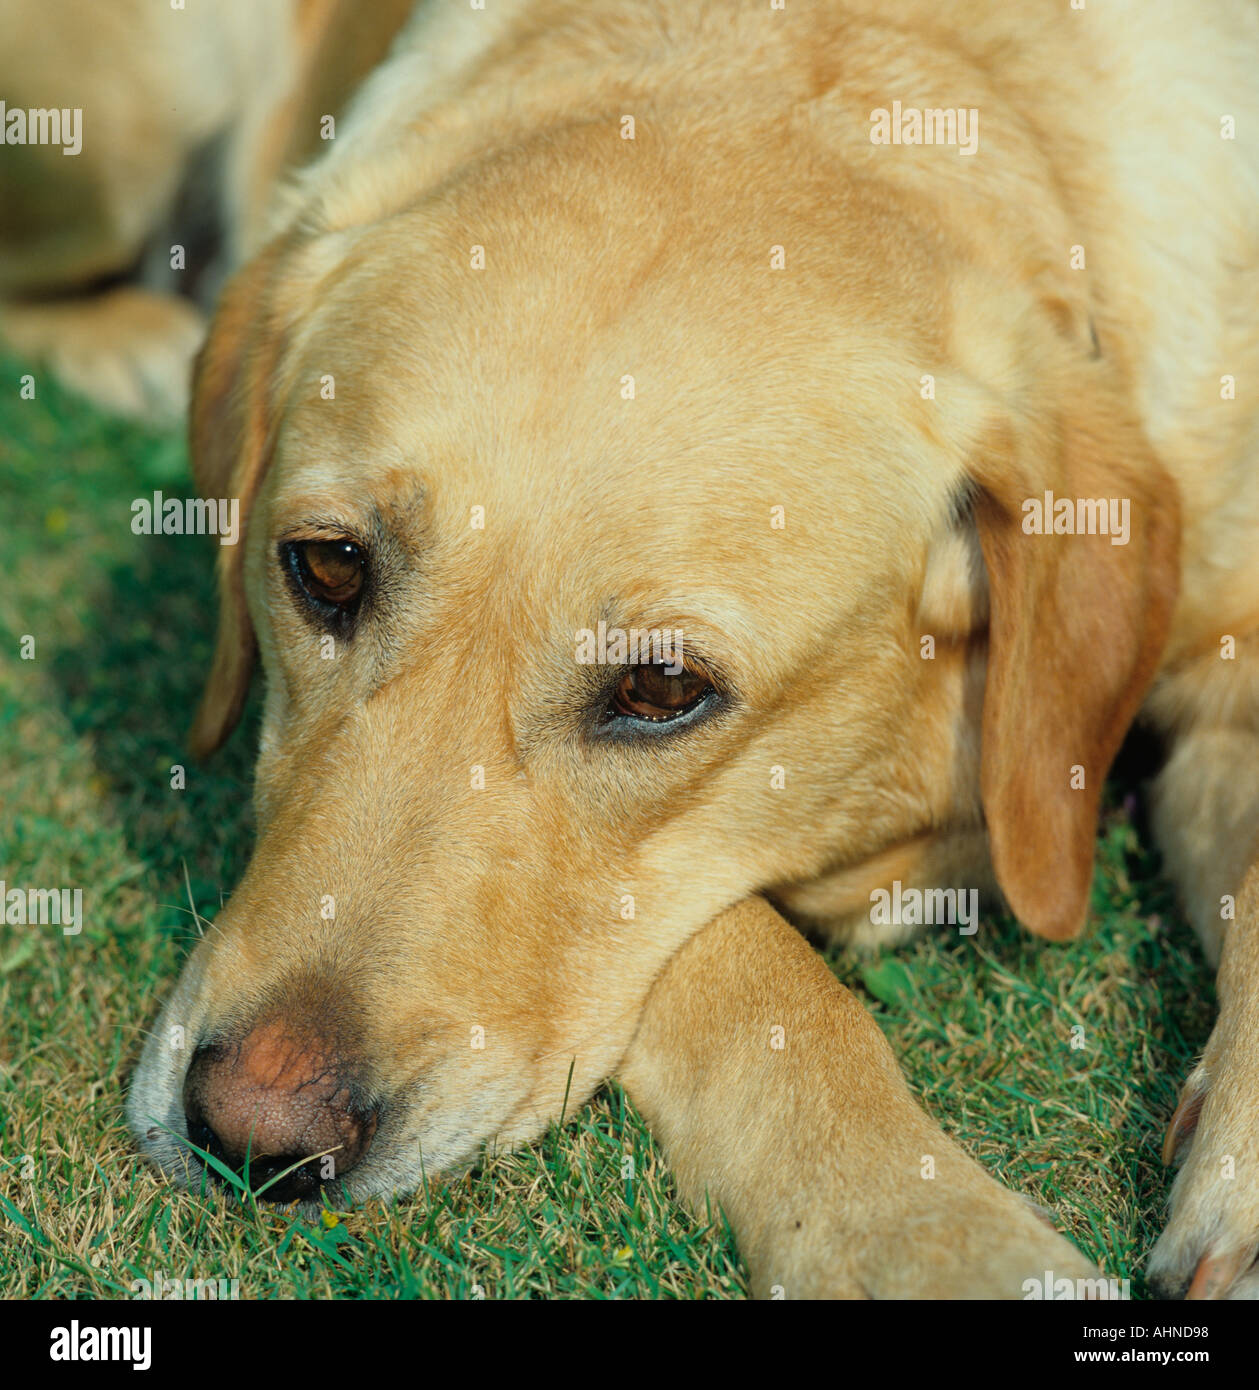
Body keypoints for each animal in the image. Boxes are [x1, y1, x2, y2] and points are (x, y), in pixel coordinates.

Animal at [12, 0, 1245, 1295]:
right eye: (328, 567)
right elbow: (772, 988)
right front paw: (937, 1241)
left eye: (659, 687)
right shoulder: (672, 895)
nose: (252, 1133)